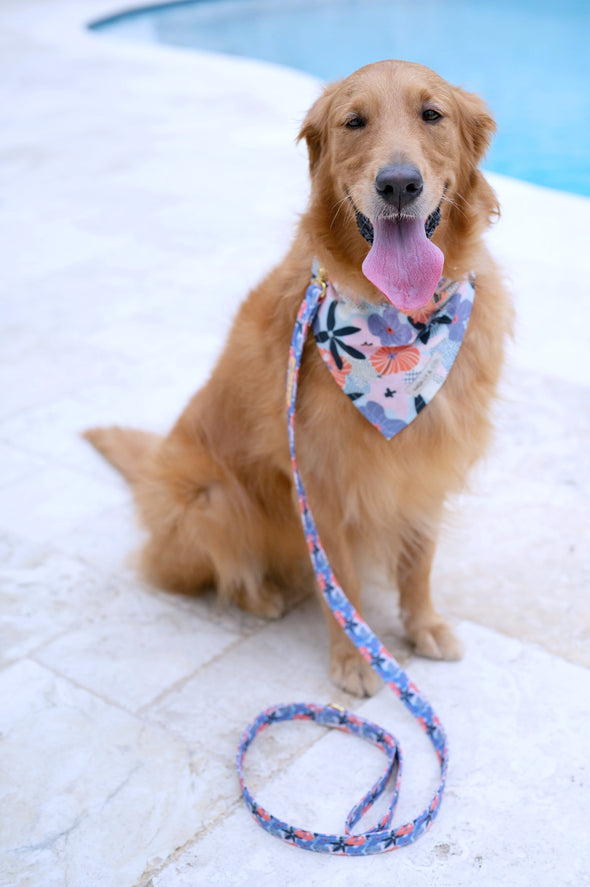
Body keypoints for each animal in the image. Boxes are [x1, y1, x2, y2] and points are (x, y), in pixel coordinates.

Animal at [84, 60, 512, 700]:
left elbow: (419, 561)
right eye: (354, 122)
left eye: (432, 114)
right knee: (208, 569)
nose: (398, 184)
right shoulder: (324, 484)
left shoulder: (427, 466)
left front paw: (423, 625)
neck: (402, 323)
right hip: (212, 500)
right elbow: (343, 586)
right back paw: (261, 594)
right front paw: (354, 659)